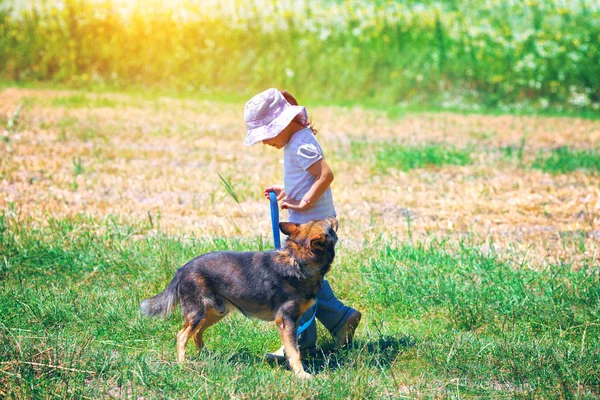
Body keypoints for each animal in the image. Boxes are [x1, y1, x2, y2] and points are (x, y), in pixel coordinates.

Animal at [139, 216, 338, 378]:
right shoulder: (286, 320)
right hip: (197, 313)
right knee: (181, 336)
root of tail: (181, 270)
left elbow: (293, 348)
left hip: (215, 312)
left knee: (196, 333)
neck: (298, 260)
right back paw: (183, 363)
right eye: (331, 227)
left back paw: (207, 356)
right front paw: (301, 375)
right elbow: (294, 351)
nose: (333, 215)